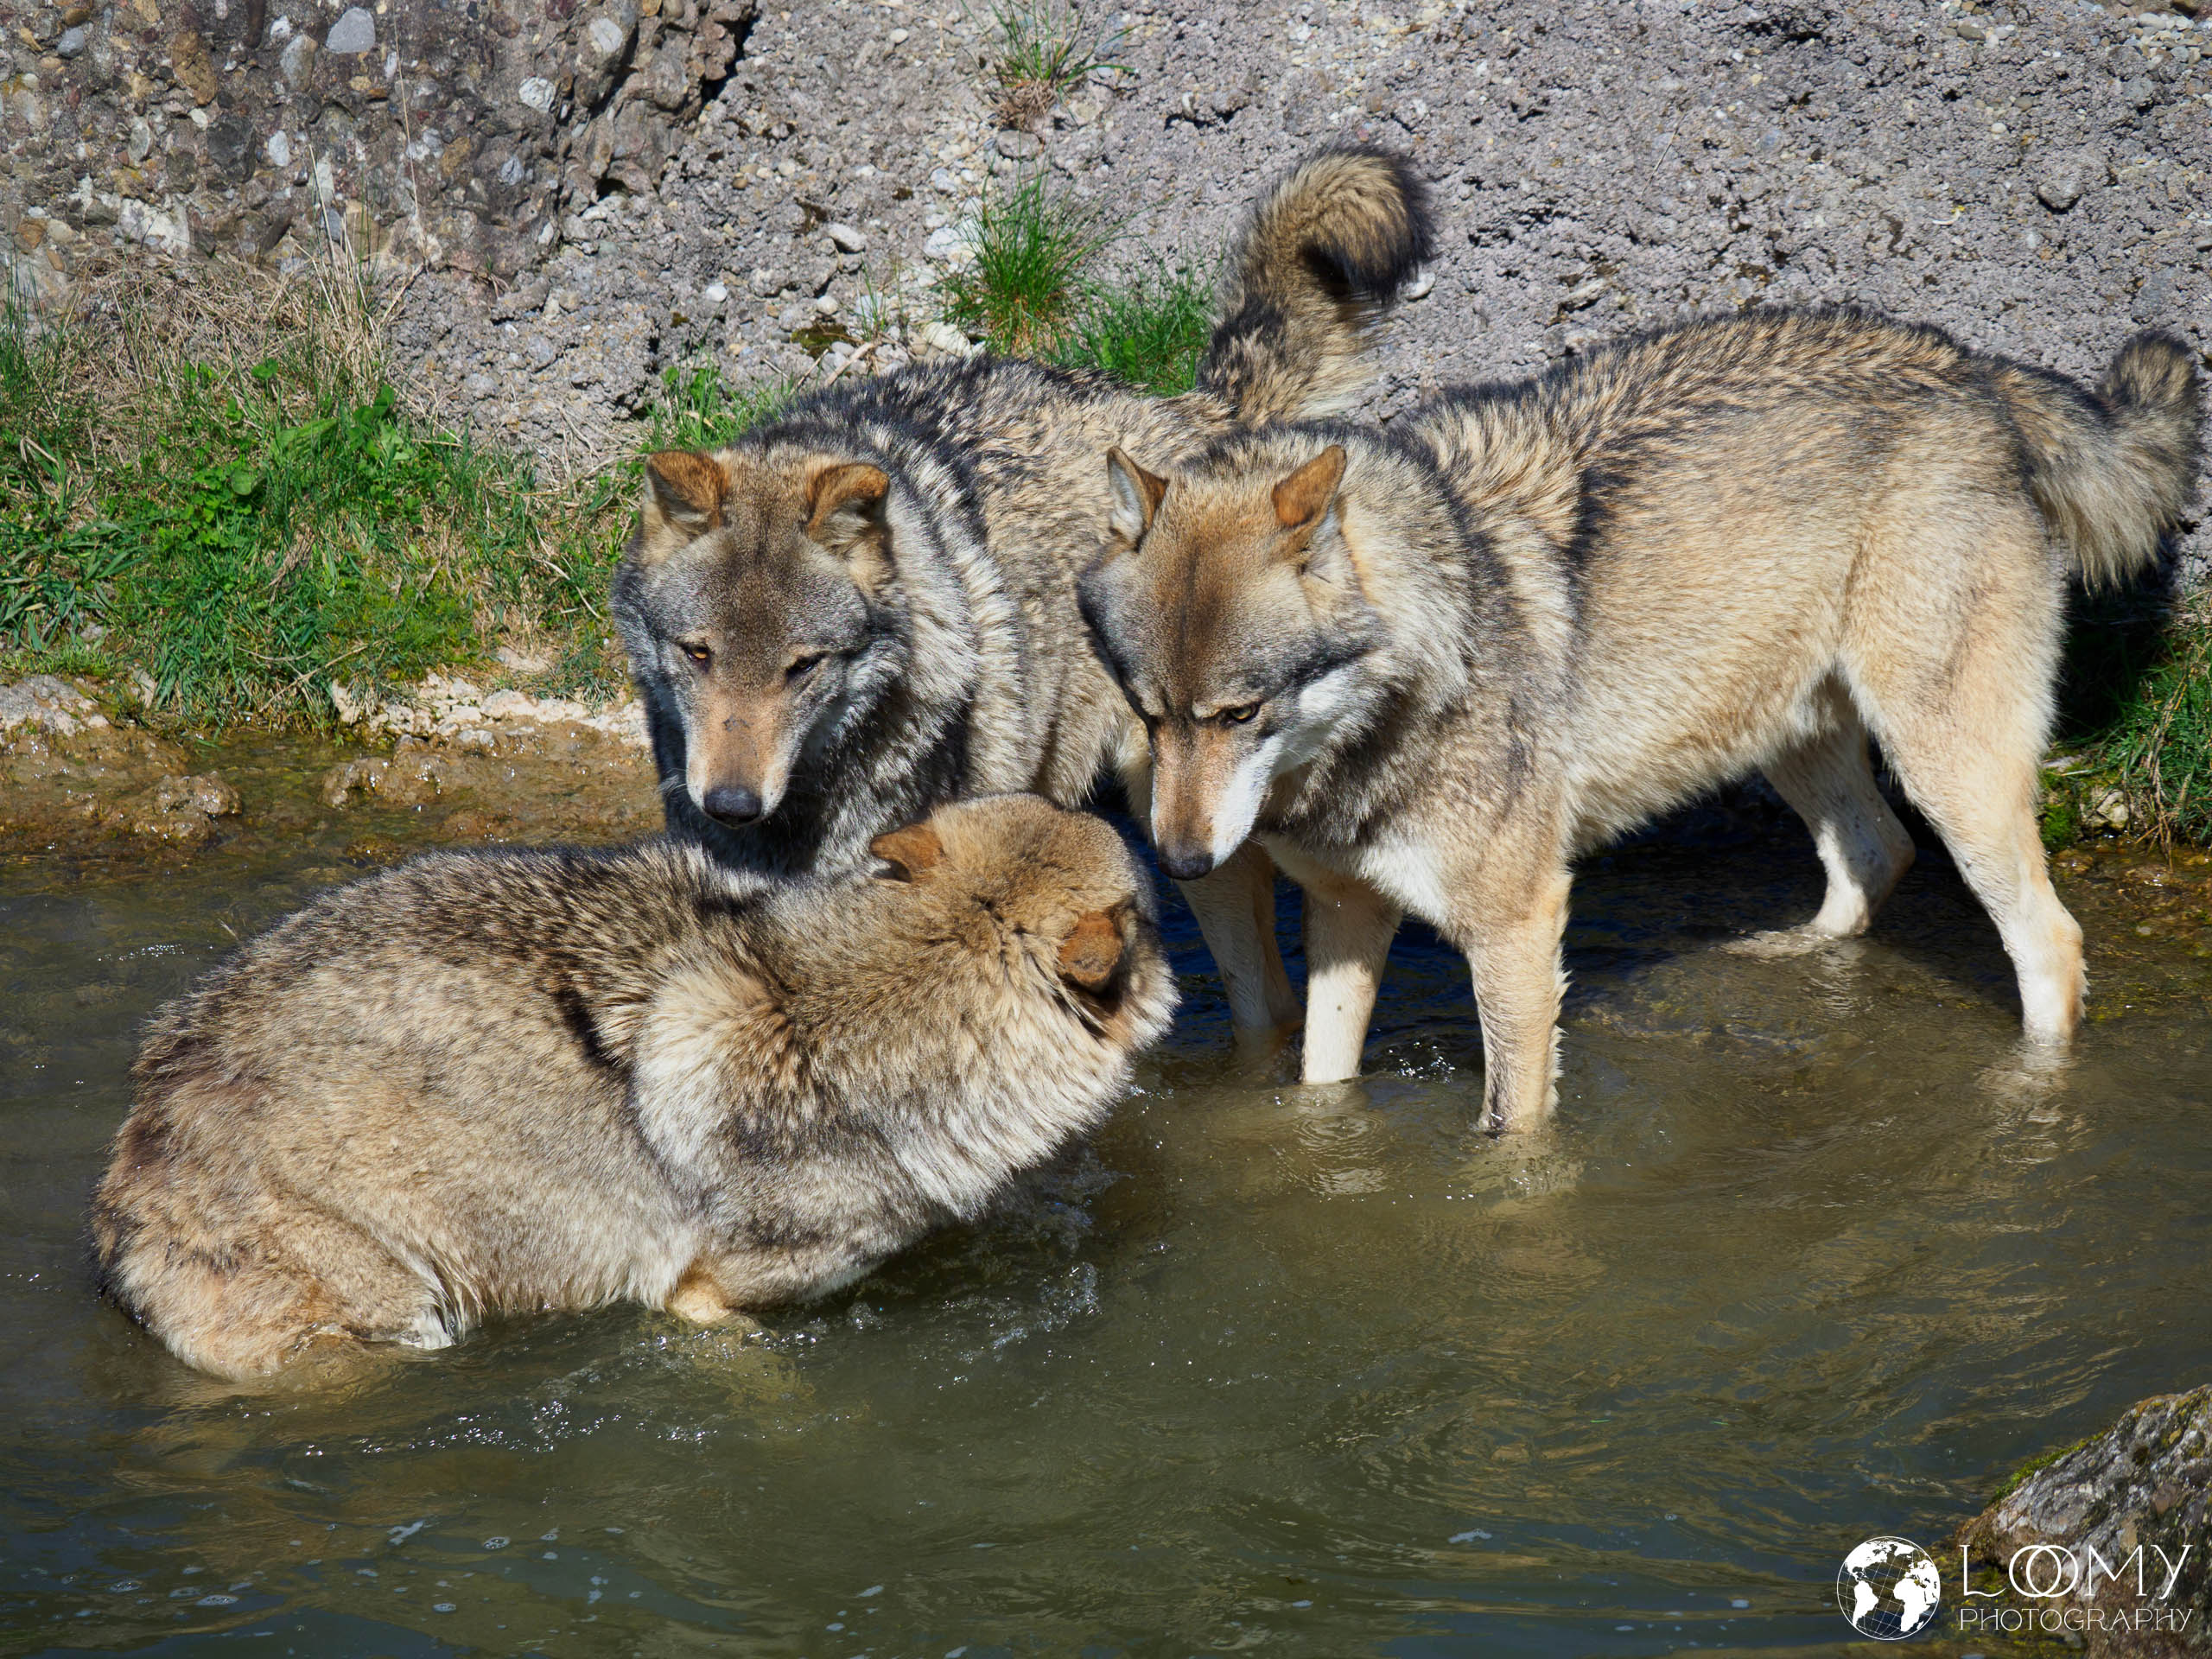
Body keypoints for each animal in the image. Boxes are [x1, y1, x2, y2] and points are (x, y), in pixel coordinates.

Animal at [612, 144, 1431, 1034]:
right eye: (698, 654)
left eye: (804, 667)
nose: (730, 803)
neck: (805, 808)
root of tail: (1194, 409)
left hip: (1188, 825)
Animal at [1075, 307, 2202, 1127]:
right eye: (1148, 714)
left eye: (1238, 713)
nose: (1180, 865)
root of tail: (1976, 369)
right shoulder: (1350, 911)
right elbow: (1320, 1086)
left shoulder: (1518, 929)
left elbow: (1510, 1133)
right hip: (1784, 736)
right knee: (1876, 852)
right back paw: (1792, 956)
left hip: (1944, 767)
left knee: (2048, 942)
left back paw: (2031, 1091)